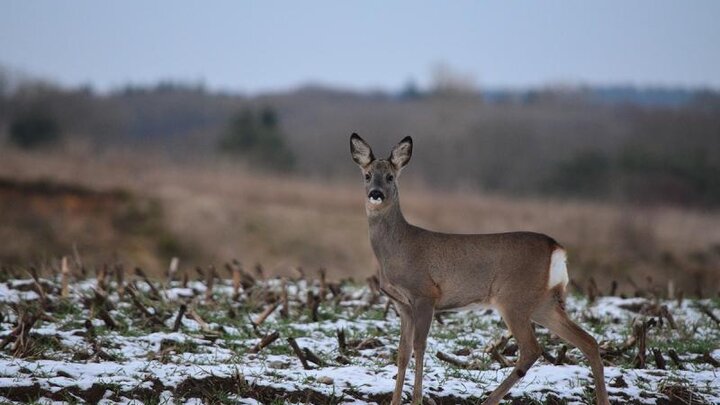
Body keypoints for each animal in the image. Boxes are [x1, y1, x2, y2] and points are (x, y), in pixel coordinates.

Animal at [348, 133, 608, 404]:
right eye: (367, 175)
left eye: (390, 176)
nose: (376, 193)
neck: (398, 249)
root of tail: (556, 248)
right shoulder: (402, 304)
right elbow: (402, 352)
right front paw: (396, 400)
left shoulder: (425, 294)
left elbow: (420, 347)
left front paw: (416, 399)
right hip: (542, 302)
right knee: (588, 341)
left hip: (513, 298)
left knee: (532, 349)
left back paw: (489, 399)